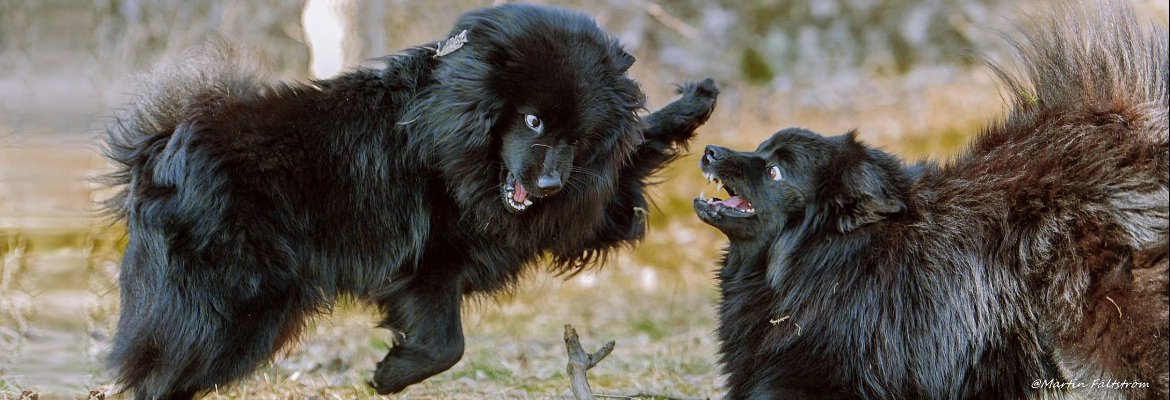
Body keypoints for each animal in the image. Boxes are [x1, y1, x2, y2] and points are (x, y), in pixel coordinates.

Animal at [105, 4, 716, 397]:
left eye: (580, 139)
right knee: (161, 373)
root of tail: (159, 149)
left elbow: (630, 156)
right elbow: (447, 345)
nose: (548, 186)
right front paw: (388, 376)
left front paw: (696, 101)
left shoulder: (577, 209)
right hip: (237, 307)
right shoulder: (429, 265)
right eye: (533, 120)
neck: (451, 139)